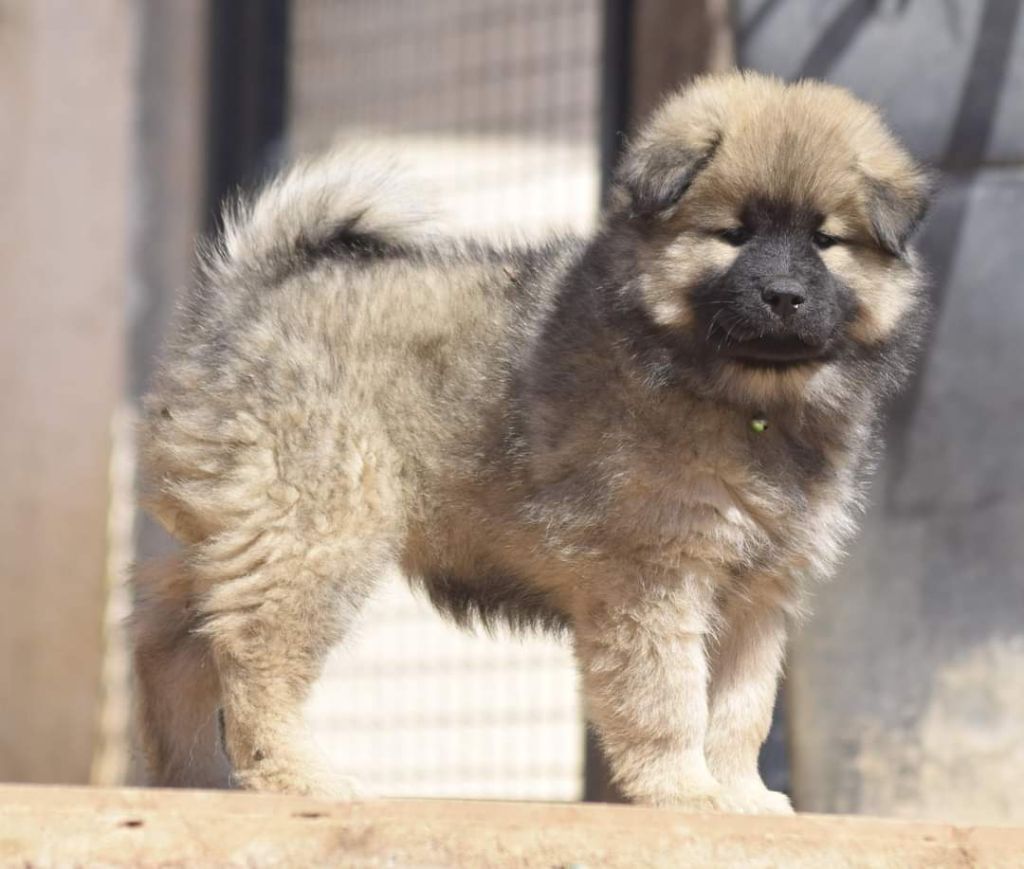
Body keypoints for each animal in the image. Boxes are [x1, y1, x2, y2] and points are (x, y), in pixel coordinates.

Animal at [132, 71, 933, 810]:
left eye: (825, 241)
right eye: (733, 235)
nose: (783, 296)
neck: (743, 396)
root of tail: (247, 293)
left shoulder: (757, 590)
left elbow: (742, 708)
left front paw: (739, 793)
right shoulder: (654, 573)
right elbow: (668, 697)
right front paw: (684, 790)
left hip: (237, 528)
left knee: (172, 642)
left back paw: (192, 777)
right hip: (316, 529)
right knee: (255, 654)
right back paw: (298, 777)